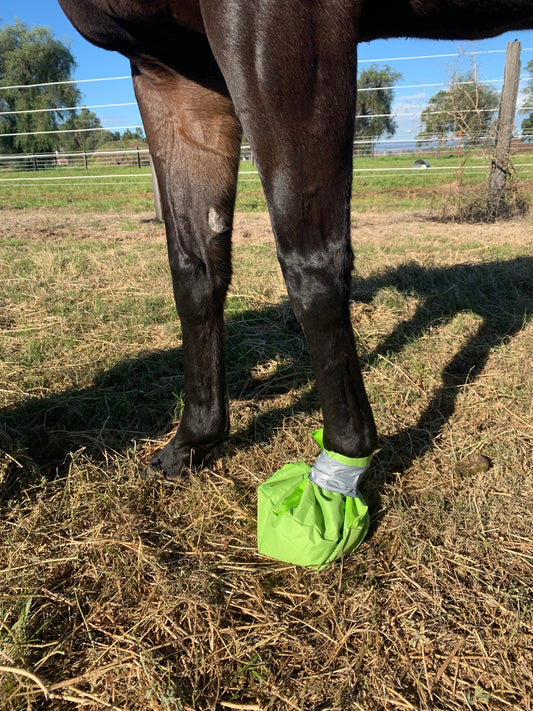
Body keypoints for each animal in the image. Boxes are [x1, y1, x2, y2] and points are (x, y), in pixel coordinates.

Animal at [56, 0, 528, 482]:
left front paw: (342, 461)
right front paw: (190, 441)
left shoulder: (272, 21)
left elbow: (312, 270)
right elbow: (195, 273)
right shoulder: (171, 68)